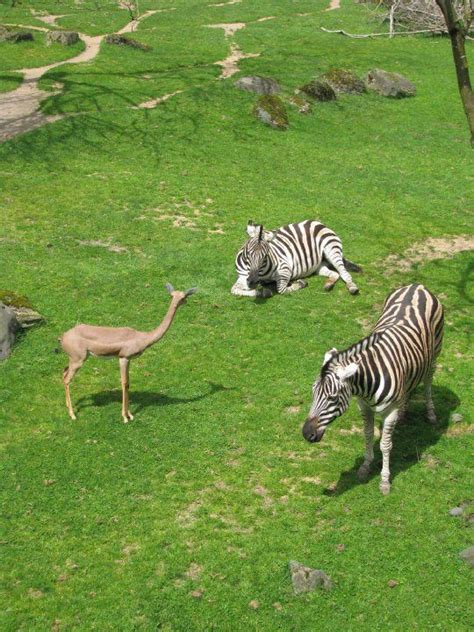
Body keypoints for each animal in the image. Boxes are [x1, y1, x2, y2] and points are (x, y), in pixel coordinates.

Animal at [231, 218, 362, 298]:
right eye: (248, 253)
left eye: (266, 255)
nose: (253, 281)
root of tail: (317, 222)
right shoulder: (243, 276)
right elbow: (234, 290)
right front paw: (261, 292)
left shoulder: (285, 269)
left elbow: (281, 289)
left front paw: (300, 283)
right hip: (319, 265)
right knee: (335, 274)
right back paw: (328, 285)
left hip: (332, 250)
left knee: (344, 273)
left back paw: (352, 287)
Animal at [304, 284, 444, 496]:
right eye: (313, 394)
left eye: (333, 398)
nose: (306, 434)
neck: (366, 385)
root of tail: (417, 286)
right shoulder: (364, 407)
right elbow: (368, 435)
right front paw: (365, 466)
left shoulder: (390, 411)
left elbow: (385, 445)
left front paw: (384, 480)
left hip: (434, 354)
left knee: (428, 381)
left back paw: (431, 414)